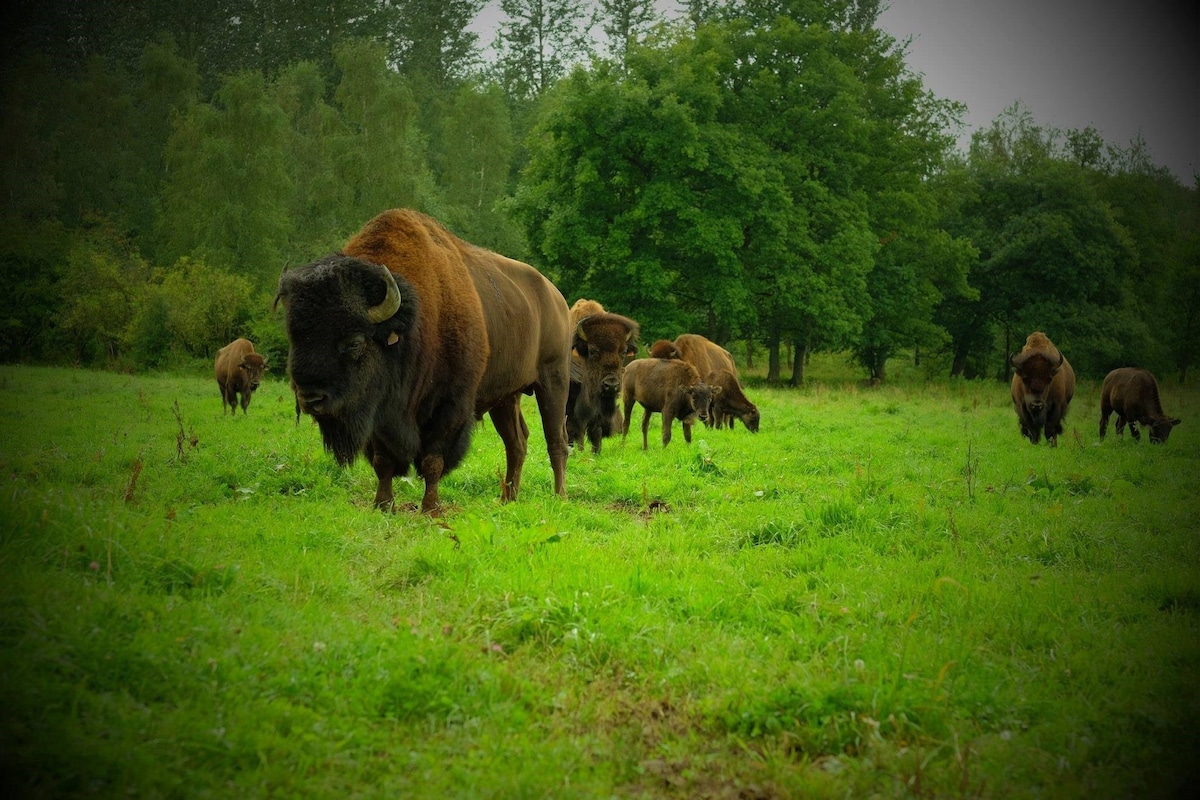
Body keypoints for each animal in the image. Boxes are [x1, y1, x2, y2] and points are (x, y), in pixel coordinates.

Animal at [274, 208, 571, 513]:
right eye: (294, 336)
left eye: (354, 342)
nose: (310, 398)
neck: (411, 324)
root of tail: (556, 297)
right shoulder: (380, 412)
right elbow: (383, 461)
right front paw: (383, 504)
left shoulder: (449, 408)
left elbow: (432, 460)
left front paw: (430, 507)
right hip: (506, 397)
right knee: (516, 442)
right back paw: (507, 499)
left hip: (553, 381)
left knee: (556, 441)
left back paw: (559, 497)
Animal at [568, 298, 643, 453]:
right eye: (592, 351)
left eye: (623, 351)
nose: (611, 385)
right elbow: (577, 428)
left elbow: (596, 430)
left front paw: (596, 452)